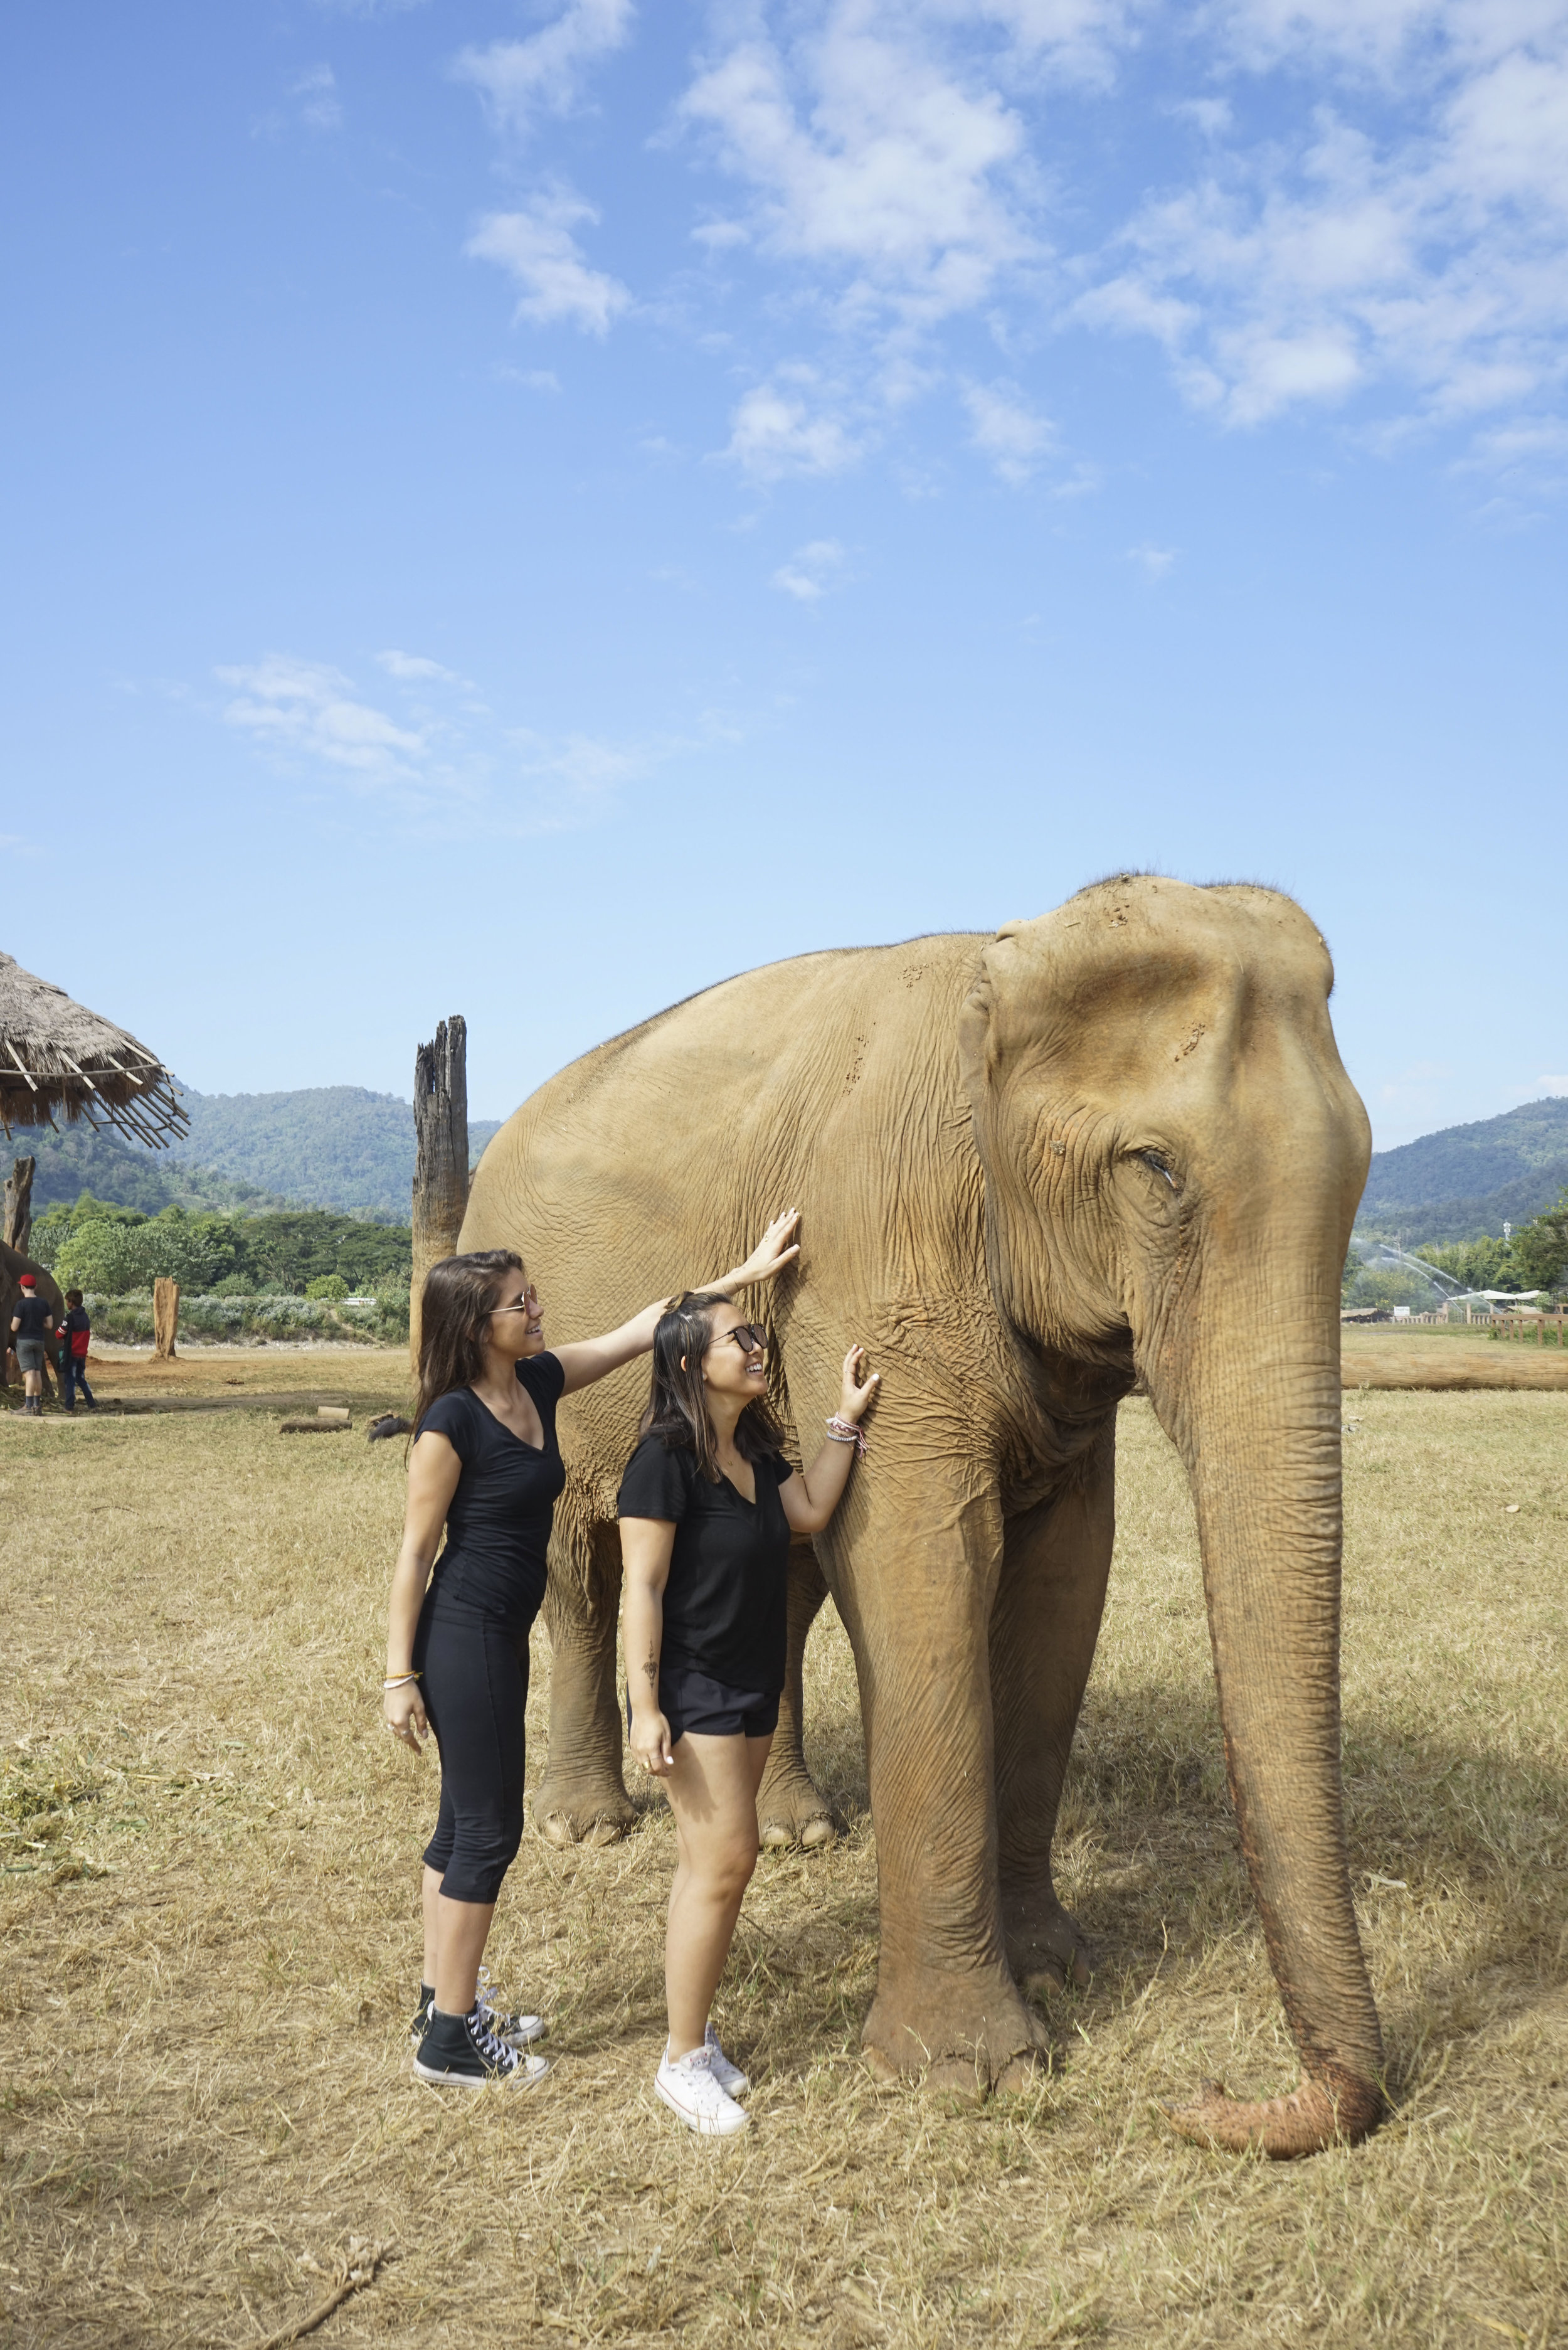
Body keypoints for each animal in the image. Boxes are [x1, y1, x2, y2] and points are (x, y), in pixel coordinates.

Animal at [463, 874, 1382, 2152]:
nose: (1207, 2099)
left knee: (784, 1574)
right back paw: (587, 1826)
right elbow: (922, 1563)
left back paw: (798, 1828)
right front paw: (972, 2071)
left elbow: (1064, 1582)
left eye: (1363, 1171)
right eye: (1154, 1168)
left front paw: (1058, 1967)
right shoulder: (874, 1250)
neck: (1001, 966)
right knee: (582, 1572)